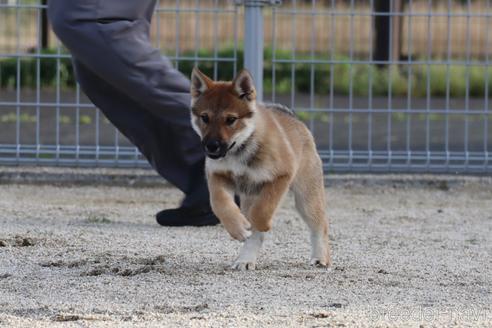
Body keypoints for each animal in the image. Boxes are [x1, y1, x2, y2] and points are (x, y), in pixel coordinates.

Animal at [190, 68, 332, 270]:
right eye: (204, 118)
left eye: (231, 119)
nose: (211, 146)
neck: (240, 149)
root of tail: (295, 120)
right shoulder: (218, 176)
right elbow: (220, 204)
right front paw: (238, 228)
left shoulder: (280, 177)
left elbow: (261, 212)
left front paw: (262, 224)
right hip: (251, 196)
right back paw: (245, 260)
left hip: (306, 198)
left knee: (320, 225)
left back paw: (321, 258)